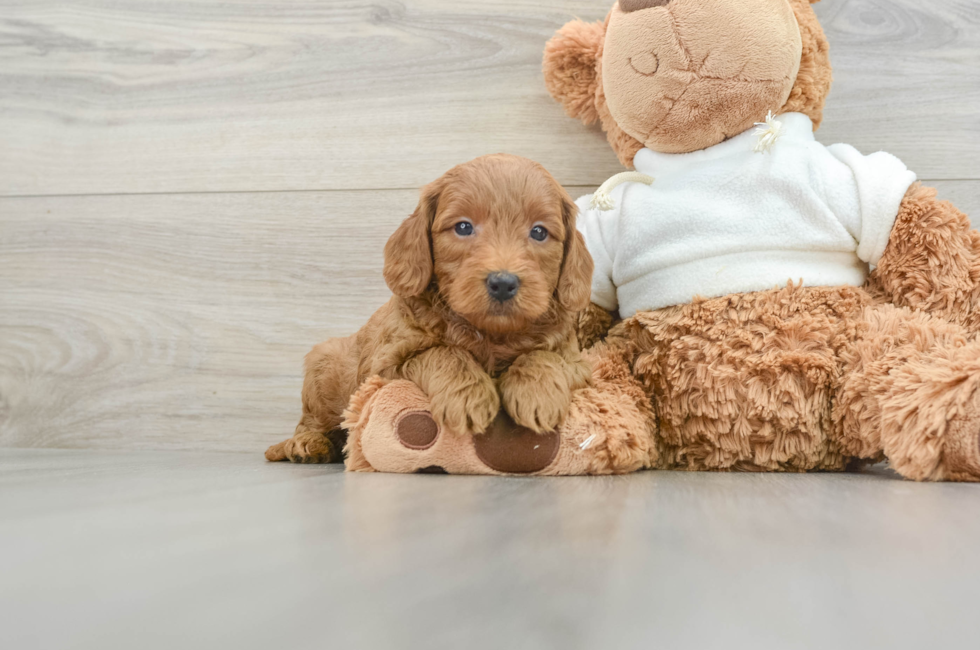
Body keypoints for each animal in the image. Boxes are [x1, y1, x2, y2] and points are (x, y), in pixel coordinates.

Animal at [264, 154, 592, 460]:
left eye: (539, 232)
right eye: (463, 227)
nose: (502, 282)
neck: (491, 333)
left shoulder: (579, 364)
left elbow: (544, 356)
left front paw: (539, 394)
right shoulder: (384, 366)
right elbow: (443, 352)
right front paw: (468, 397)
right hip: (324, 366)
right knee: (311, 421)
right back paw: (307, 444)